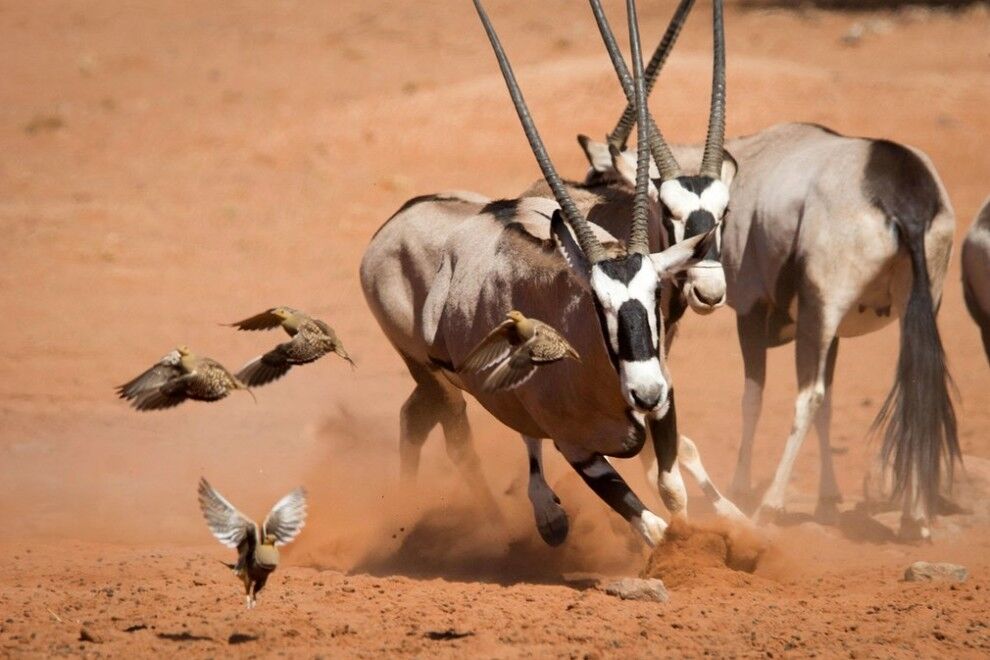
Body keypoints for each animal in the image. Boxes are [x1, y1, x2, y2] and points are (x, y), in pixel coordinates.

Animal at [360, 0, 732, 548]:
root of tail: (395, 221)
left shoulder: (663, 407)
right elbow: (652, 525)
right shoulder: (577, 448)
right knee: (457, 439)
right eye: (598, 303)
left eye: (653, 292)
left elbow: (672, 487)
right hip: (432, 374)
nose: (644, 392)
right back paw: (494, 524)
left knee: (416, 420)